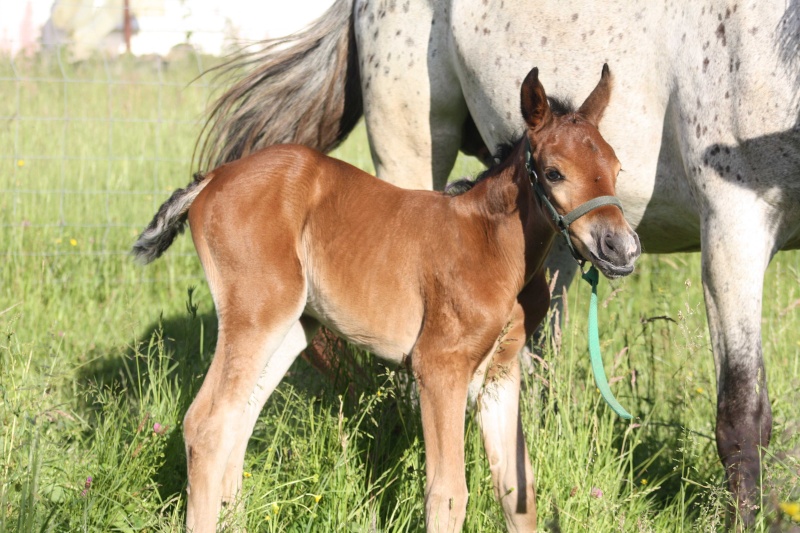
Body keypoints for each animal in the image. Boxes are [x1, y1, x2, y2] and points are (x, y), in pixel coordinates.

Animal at [134, 64, 640, 528]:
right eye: (554, 173)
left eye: (616, 168)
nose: (620, 248)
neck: (492, 248)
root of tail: (213, 177)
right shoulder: (439, 368)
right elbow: (448, 493)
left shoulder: (501, 372)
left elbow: (517, 491)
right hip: (257, 313)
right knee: (207, 425)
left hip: (292, 328)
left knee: (241, 420)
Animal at [195, 0, 800, 524]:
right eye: (554, 171)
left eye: (617, 167)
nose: (622, 248)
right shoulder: (732, 216)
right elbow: (742, 413)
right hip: (409, 149)